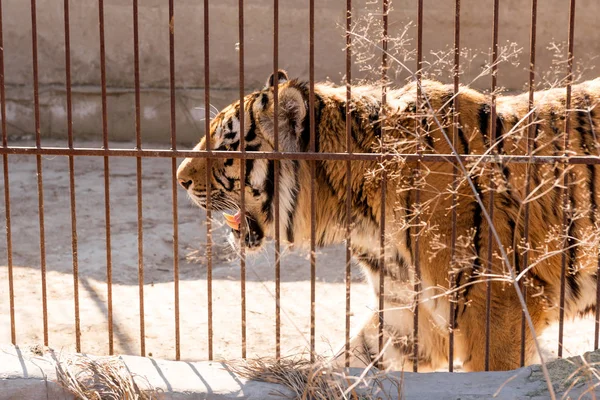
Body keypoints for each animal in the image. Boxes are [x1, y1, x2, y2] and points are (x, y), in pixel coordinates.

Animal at [176, 69, 600, 372]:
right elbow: (353, 360)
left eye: (226, 144)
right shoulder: (408, 315)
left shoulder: (496, 305)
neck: (360, 216)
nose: (180, 178)